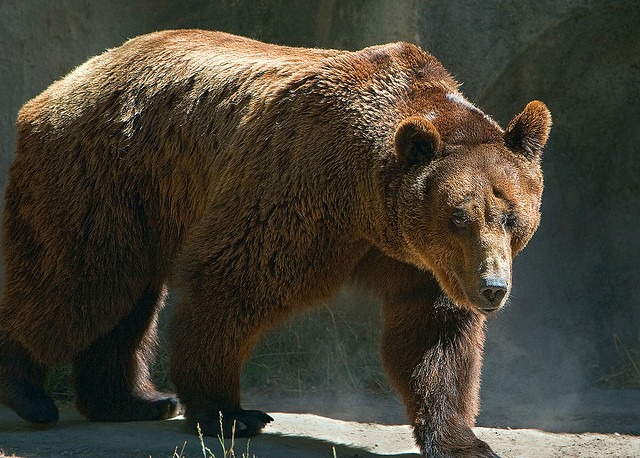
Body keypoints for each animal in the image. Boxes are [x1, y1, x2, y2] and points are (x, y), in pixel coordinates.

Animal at [0, 29, 551, 457]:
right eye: (458, 216)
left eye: (512, 217)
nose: (493, 288)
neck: (367, 206)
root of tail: (65, 84)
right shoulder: (298, 190)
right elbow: (233, 283)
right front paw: (229, 412)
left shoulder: (423, 263)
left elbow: (433, 338)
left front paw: (464, 440)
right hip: (104, 175)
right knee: (78, 286)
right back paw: (28, 391)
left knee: (123, 306)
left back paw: (132, 401)